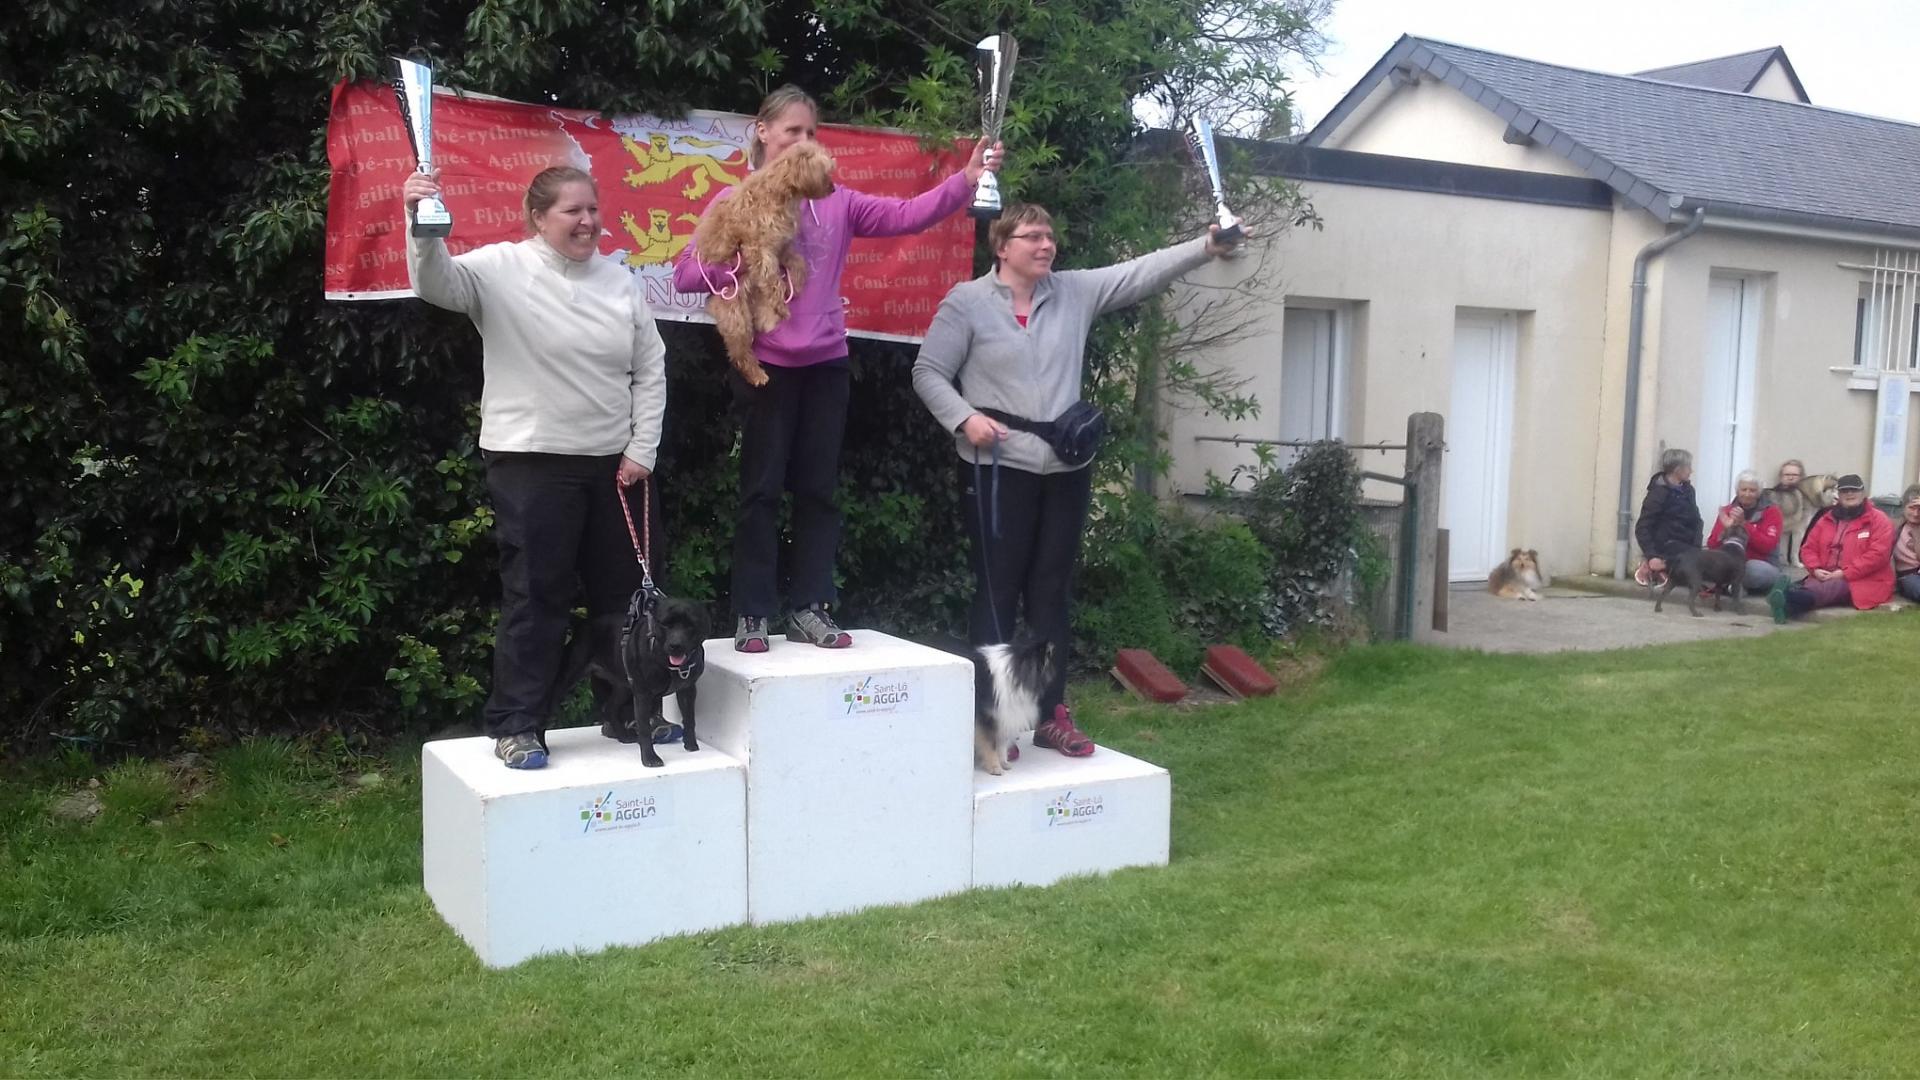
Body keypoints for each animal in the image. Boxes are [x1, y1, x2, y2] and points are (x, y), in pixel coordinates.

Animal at [695, 138, 837, 382]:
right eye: (826, 171)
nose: (834, 188)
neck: (781, 192)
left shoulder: (781, 246)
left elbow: (798, 263)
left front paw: (796, 283)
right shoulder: (759, 249)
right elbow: (772, 281)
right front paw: (782, 302)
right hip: (736, 314)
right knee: (740, 353)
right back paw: (757, 374)